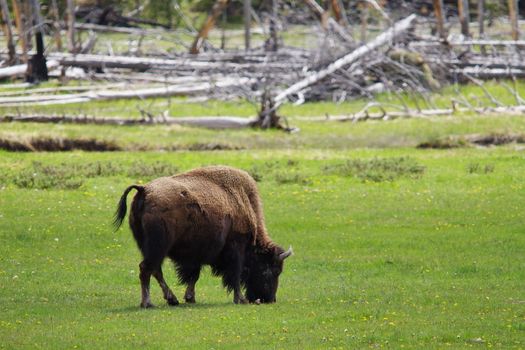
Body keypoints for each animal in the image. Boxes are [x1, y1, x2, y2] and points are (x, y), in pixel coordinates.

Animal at [113, 165, 290, 308]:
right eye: (271, 270)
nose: (269, 299)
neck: (242, 201)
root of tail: (144, 189)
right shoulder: (236, 248)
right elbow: (235, 274)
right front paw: (240, 299)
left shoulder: (196, 255)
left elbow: (194, 275)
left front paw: (190, 297)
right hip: (158, 247)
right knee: (146, 269)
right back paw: (148, 303)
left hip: (150, 248)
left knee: (154, 270)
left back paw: (172, 299)